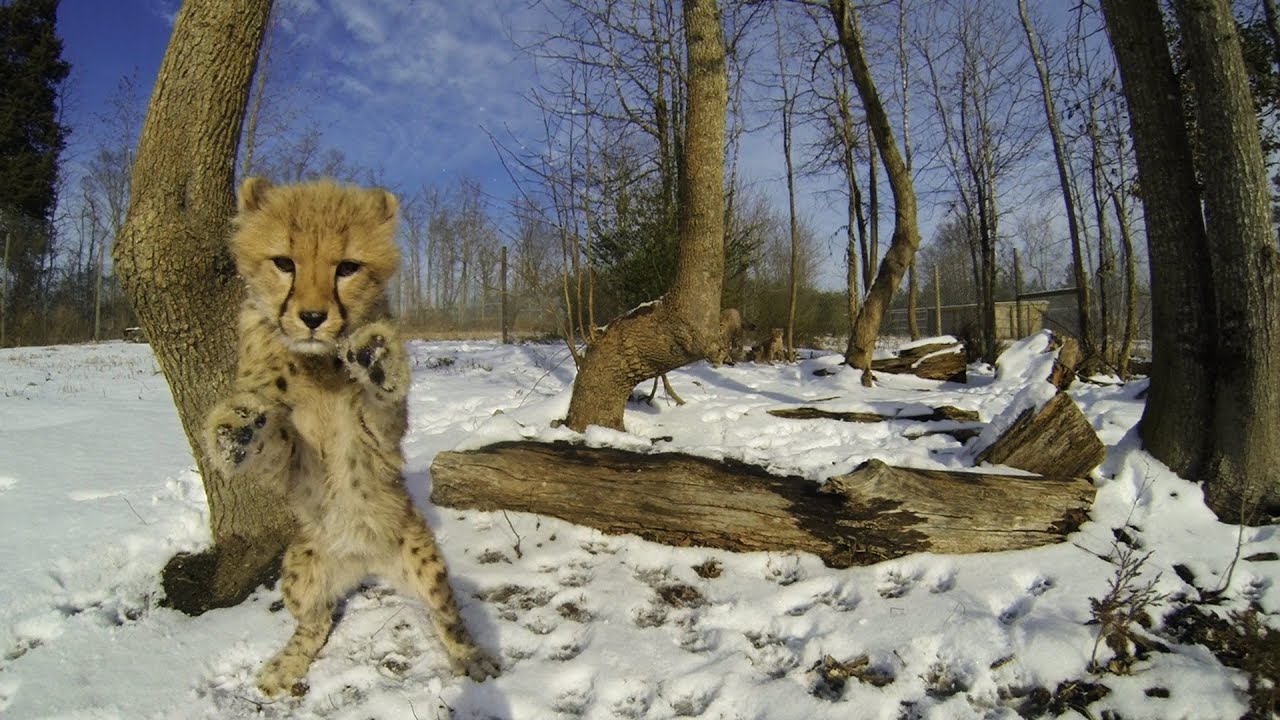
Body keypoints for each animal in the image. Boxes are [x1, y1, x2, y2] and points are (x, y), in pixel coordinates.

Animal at [202, 177, 499, 698]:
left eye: (347, 268)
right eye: (284, 263)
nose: (313, 317)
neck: (316, 361)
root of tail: (363, 562)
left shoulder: (381, 436)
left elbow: (382, 407)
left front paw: (378, 358)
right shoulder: (286, 451)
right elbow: (265, 438)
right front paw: (235, 429)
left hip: (423, 559)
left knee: (446, 616)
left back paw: (471, 655)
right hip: (299, 567)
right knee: (315, 623)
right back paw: (285, 666)